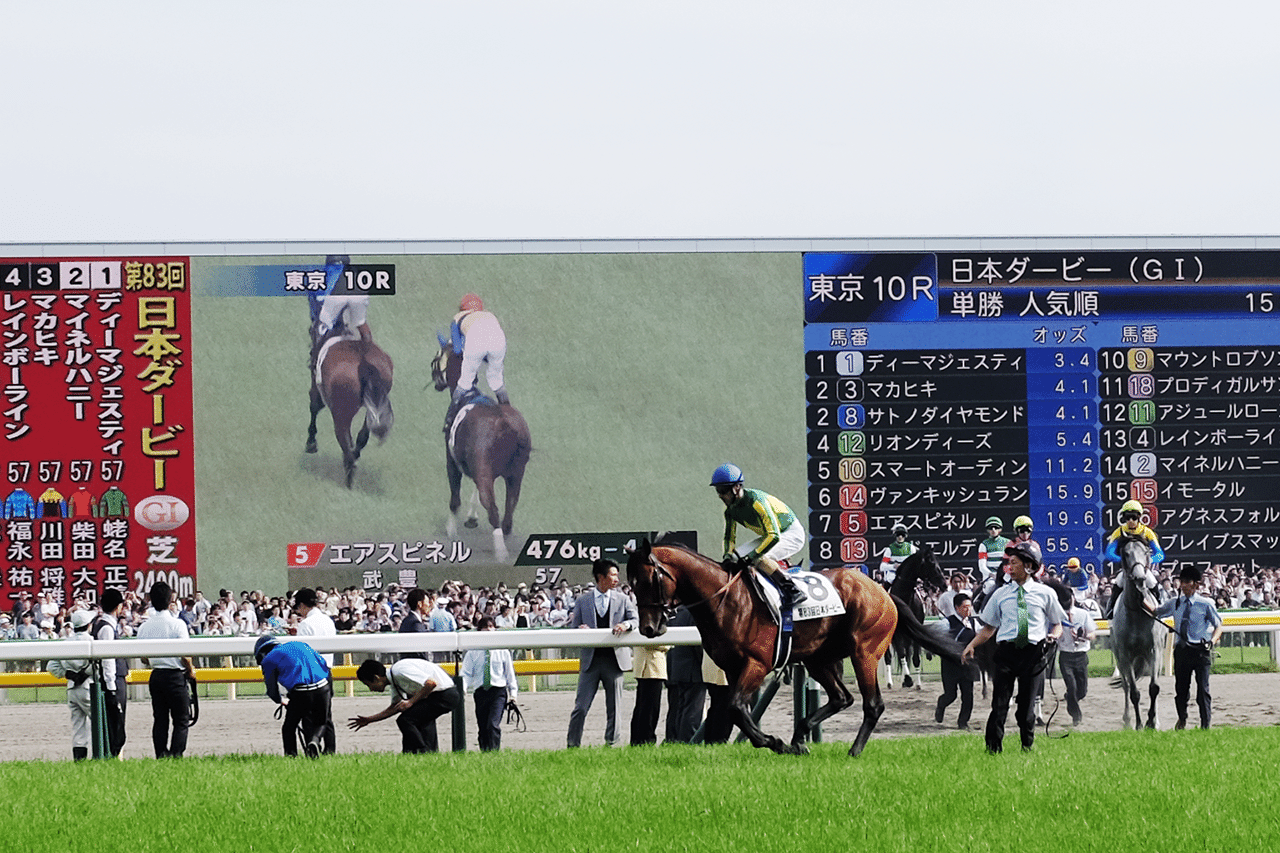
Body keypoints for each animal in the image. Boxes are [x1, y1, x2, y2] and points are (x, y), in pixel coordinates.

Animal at [305, 335, 394, 489]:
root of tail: (364, 362)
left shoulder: (317, 385)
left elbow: (314, 406)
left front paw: (311, 443)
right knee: (362, 436)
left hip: (342, 412)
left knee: (344, 439)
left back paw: (348, 477)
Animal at [430, 335, 529, 560]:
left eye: (436, 357)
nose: (435, 381)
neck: (468, 395)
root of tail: (505, 424)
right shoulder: (483, 469)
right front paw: (472, 517)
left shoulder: (452, 462)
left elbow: (455, 499)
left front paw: (451, 530)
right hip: (516, 474)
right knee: (509, 512)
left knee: (493, 510)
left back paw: (501, 552)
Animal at [885, 540, 947, 686]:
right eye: (932, 564)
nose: (944, 584)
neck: (905, 598)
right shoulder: (897, 632)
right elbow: (901, 654)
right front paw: (908, 679)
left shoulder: (916, 627)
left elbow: (915, 657)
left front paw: (917, 683)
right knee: (888, 657)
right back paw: (890, 682)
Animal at [1116, 532, 1167, 722]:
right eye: (1125, 553)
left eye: (1146, 552)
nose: (1139, 579)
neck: (1137, 611)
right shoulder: (1125, 655)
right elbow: (1134, 692)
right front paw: (1139, 723)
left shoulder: (1154, 651)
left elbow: (1154, 687)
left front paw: (1152, 721)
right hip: (1119, 657)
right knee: (1125, 686)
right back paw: (1127, 719)